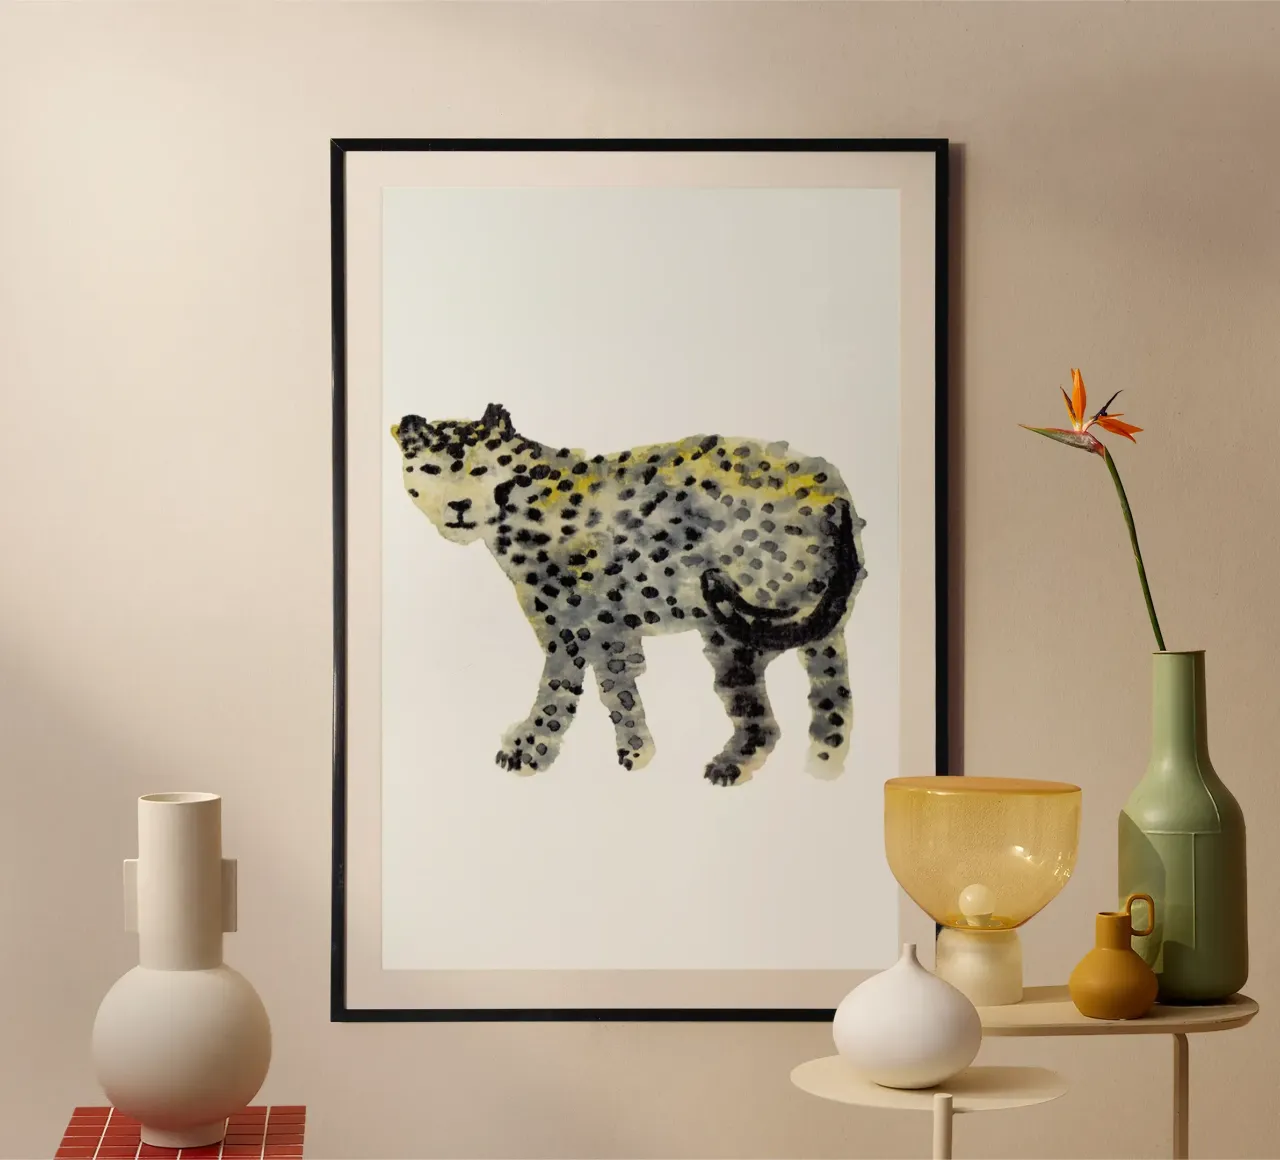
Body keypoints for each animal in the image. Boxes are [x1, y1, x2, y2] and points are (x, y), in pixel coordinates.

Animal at [391, 403, 868, 786]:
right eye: (432, 470)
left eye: (482, 469)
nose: (458, 507)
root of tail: (832, 486)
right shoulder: (601, 631)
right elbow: (611, 688)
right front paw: (633, 750)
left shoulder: (578, 630)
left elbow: (564, 692)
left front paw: (537, 750)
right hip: (801, 628)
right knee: (828, 697)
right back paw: (820, 764)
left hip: (739, 624)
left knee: (770, 715)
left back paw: (740, 766)